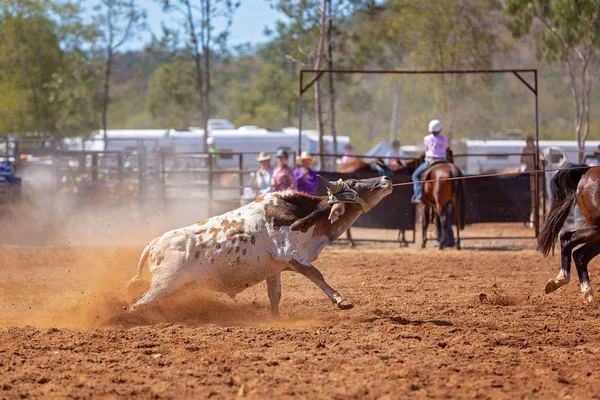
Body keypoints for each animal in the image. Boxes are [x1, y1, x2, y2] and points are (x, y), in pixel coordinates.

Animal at [128, 175, 392, 316]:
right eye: (354, 182)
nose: (386, 179)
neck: (296, 214)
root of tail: (153, 244)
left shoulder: (274, 268)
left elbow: (275, 295)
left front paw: (275, 319)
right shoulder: (291, 253)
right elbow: (316, 275)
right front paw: (341, 300)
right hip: (163, 284)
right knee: (137, 303)